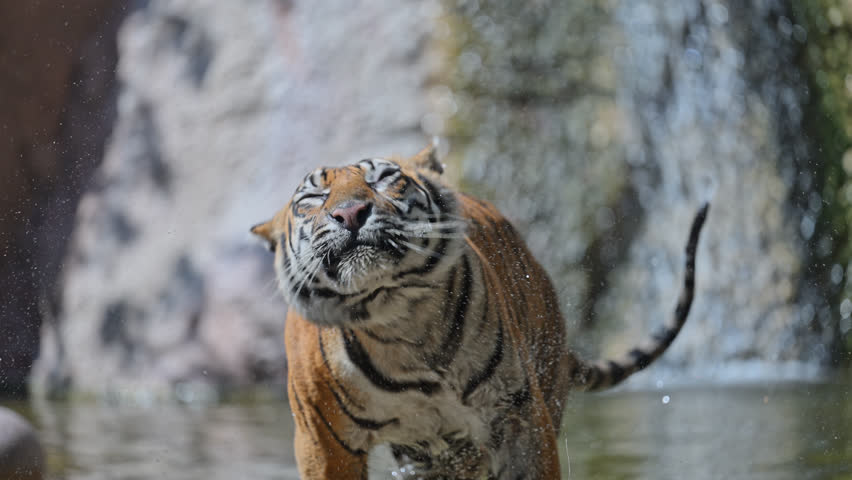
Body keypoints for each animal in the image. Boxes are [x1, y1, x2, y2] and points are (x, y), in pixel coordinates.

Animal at [251, 144, 709, 479]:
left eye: (382, 179)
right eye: (314, 198)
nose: (349, 213)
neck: (396, 318)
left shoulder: (519, 416)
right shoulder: (322, 439)